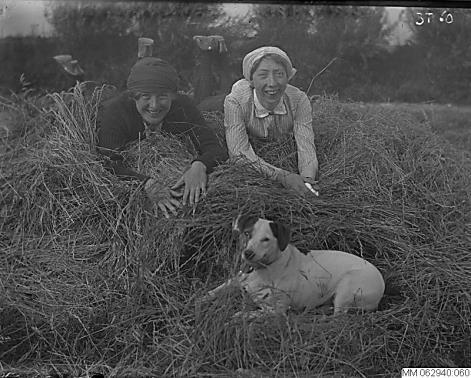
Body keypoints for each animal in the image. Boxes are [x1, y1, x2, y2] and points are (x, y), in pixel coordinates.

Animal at [201, 216, 386, 316]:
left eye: (266, 239)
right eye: (247, 233)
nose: (248, 253)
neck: (264, 269)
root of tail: (382, 282)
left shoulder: (277, 310)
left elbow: (251, 313)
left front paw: (240, 315)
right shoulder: (238, 279)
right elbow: (216, 290)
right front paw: (200, 299)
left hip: (347, 288)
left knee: (339, 317)